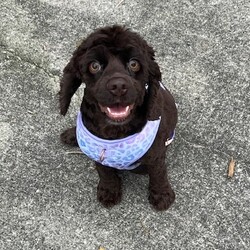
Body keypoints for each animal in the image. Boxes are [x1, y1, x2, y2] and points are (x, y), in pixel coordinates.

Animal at [59, 25, 178, 210]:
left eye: (134, 63)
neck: (115, 131)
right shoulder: (98, 153)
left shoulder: (156, 155)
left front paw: (162, 194)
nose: (118, 86)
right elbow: (104, 171)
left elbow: (158, 173)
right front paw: (109, 190)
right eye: (94, 66)